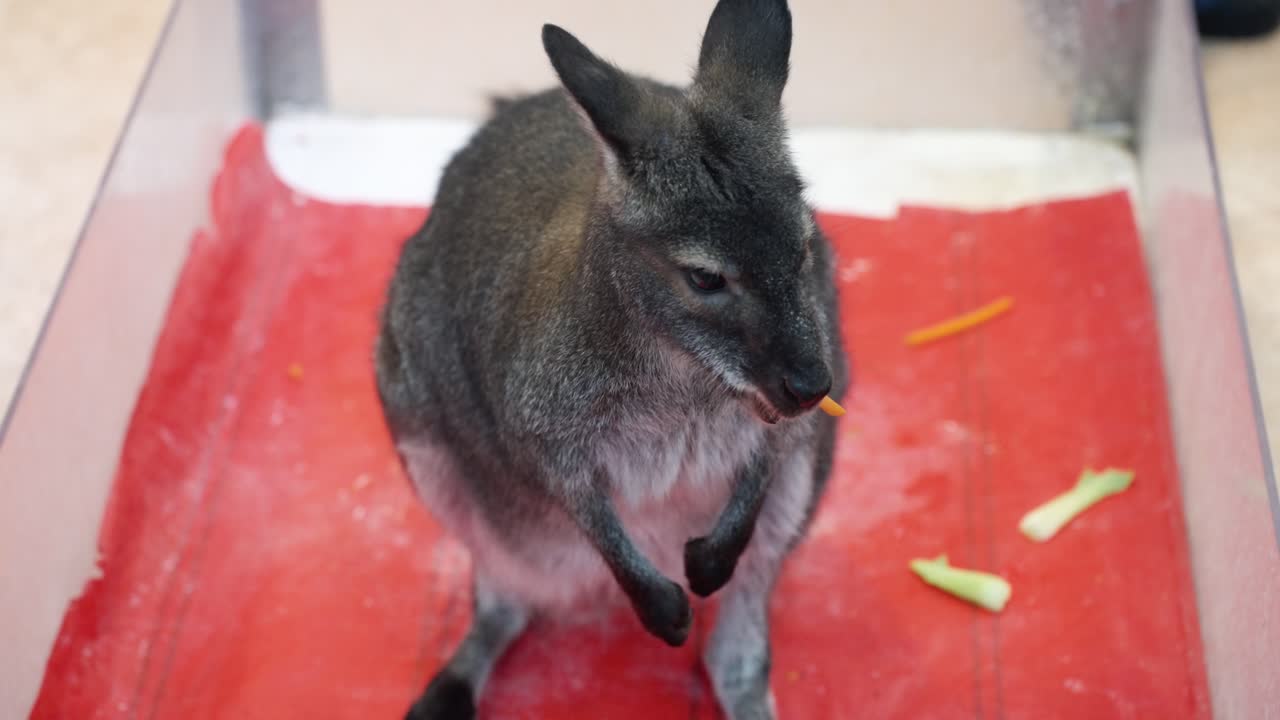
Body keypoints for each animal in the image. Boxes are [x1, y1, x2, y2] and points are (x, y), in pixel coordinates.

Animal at [375, 0, 848, 718]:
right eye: (704, 278)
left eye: (803, 246)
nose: (811, 384)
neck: (686, 373)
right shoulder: (538, 427)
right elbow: (581, 503)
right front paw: (665, 610)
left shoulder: (787, 428)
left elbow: (761, 467)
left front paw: (706, 565)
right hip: (429, 442)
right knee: (505, 603)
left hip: (804, 483)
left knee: (735, 652)